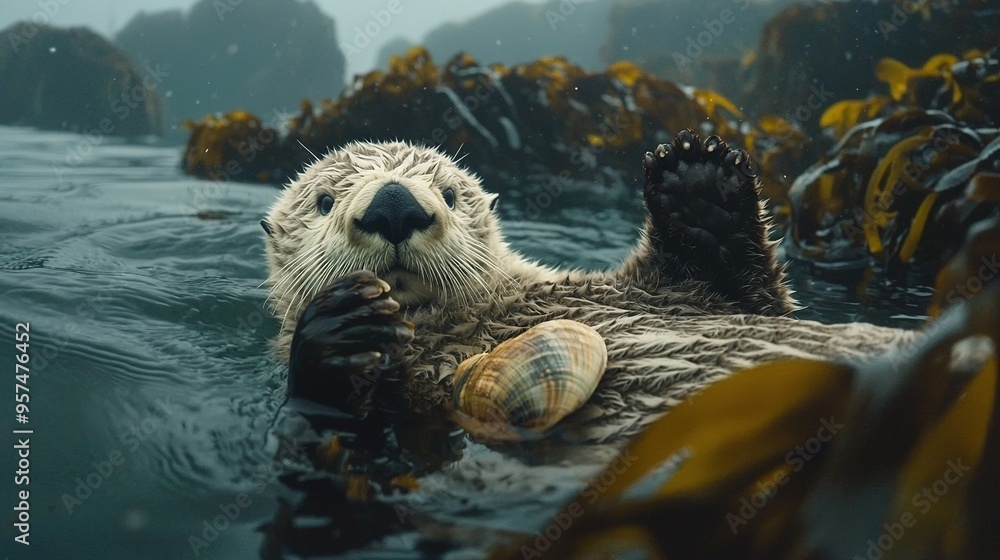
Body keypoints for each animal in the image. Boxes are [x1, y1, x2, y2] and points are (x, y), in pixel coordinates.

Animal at [260, 131, 916, 442]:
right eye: (324, 201)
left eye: (449, 193)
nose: (394, 205)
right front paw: (343, 326)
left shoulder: (667, 293)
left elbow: (749, 296)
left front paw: (699, 181)